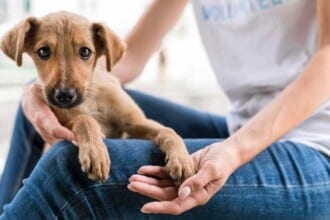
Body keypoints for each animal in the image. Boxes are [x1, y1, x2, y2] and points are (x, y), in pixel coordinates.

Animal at [0, 11, 196, 184]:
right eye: (43, 52)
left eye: (85, 52)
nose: (64, 96)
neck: (90, 99)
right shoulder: (62, 123)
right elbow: (85, 120)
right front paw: (95, 153)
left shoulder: (135, 122)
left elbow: (168, 131)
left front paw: (182, 159)